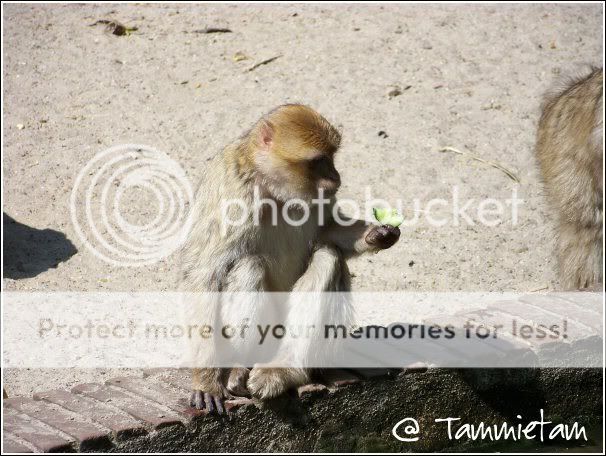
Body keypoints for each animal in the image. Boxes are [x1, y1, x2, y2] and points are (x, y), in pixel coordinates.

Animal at [178, 104, 402, 414]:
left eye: (332, 157)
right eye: (319, 161)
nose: (336, 178)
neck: (272, 189)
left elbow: (327, 230)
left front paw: (378, 234)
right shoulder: (231, 189)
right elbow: (204, 274)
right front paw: (206, 381)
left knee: (328, 256)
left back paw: (285, 369)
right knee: (249, 265)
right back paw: (238, 367)